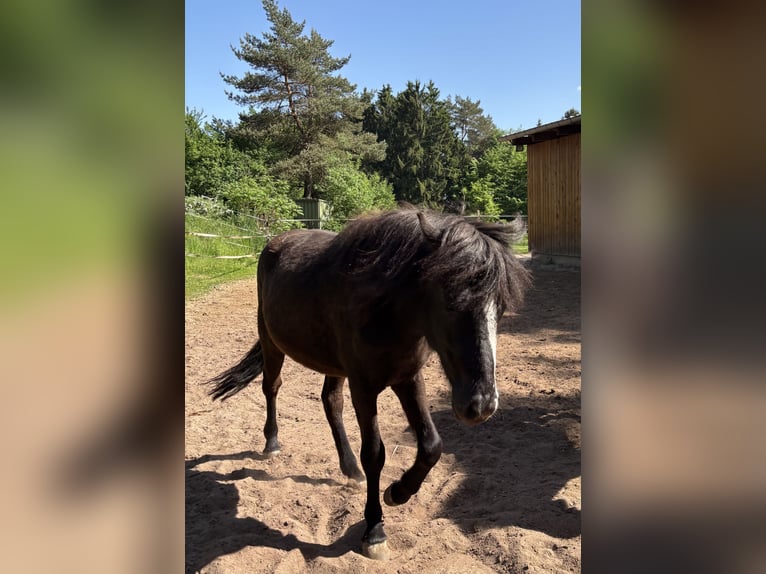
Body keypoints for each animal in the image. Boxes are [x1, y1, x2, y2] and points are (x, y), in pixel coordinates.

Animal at [206, 207, 530, 560]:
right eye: (450, 301)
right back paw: (273, 443)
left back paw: (350, 469)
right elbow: (374, 454)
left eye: (500, 307)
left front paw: (398, 492)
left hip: (332, 364)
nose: (481, 404)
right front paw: (374, 531)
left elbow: (432, 445)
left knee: (330, 401)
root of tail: (276, 242)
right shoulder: (363, 387)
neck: (386, 313)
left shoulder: (408, 379)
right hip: (271, 342)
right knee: (272, 387)